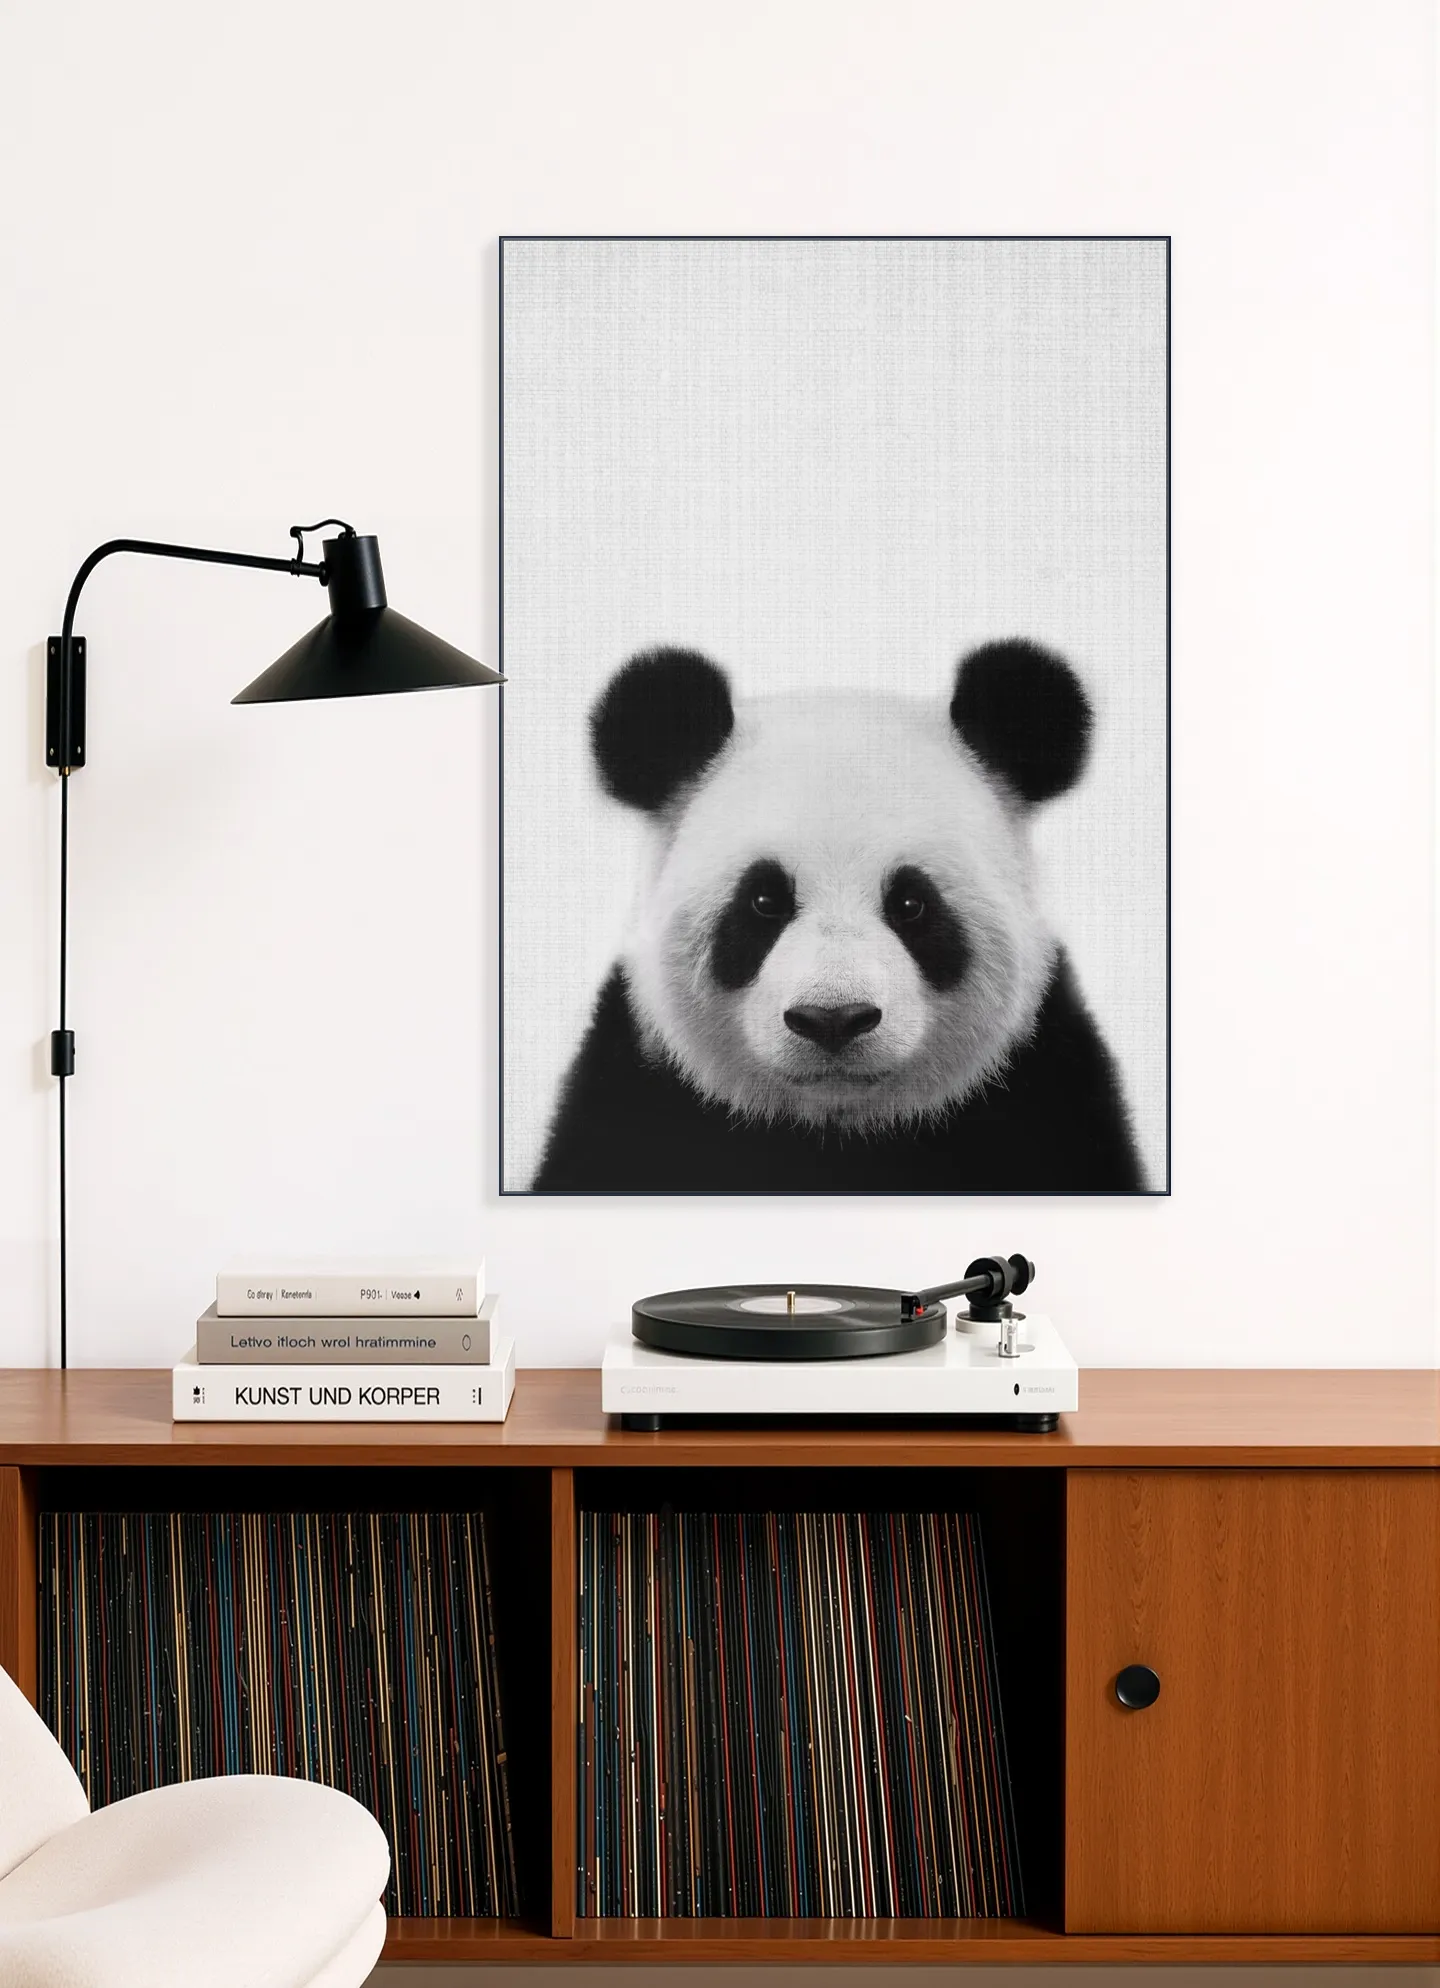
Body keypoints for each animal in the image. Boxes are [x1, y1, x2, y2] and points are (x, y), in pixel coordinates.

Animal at [532, 641, 1144, 1193]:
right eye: (764, 902)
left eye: (910, 904)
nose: (833, 1019)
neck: (835, 1131)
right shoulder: (632, 1097)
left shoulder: (1048, 1091)